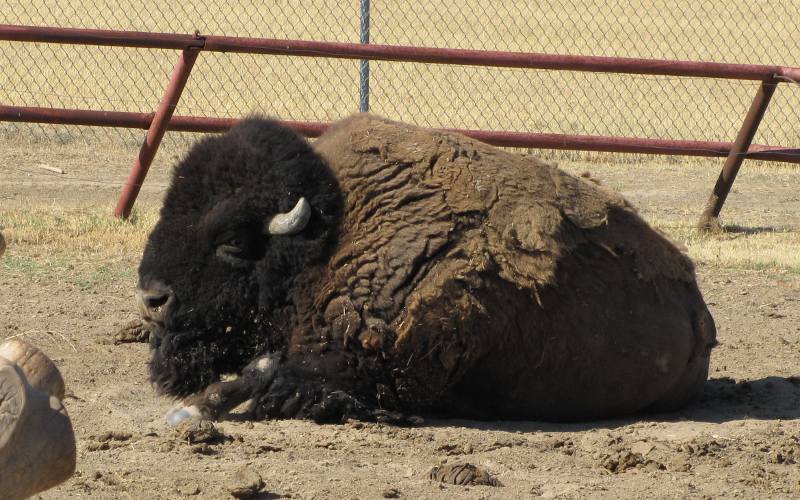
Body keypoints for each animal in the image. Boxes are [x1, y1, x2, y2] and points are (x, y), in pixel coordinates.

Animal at [138, 115, 720, 424]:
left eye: (234, 242)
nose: (152, 298)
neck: (331, 234)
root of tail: (699, 313)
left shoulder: (367, 366)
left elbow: (270, 374)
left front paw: (194, 409)